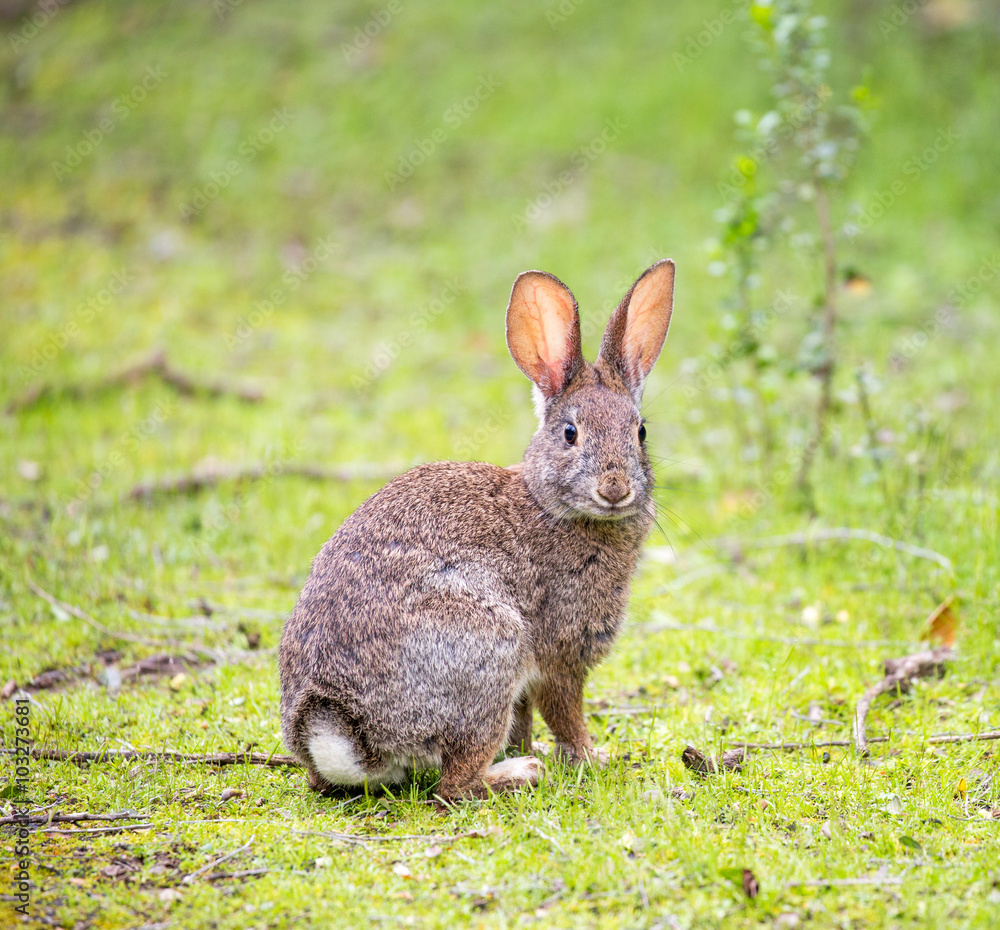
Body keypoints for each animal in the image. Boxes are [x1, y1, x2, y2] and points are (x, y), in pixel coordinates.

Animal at [279, 258, 675, 801]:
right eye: (570, 433)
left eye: (640, 432)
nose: (614, 488)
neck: (550, 504)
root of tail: (349, 734)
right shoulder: (560, 653)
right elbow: (564, 712)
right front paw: (591, 757)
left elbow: (526, 717)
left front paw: (544, 748)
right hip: (492, 650)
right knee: (456, 784)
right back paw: (519, 773)